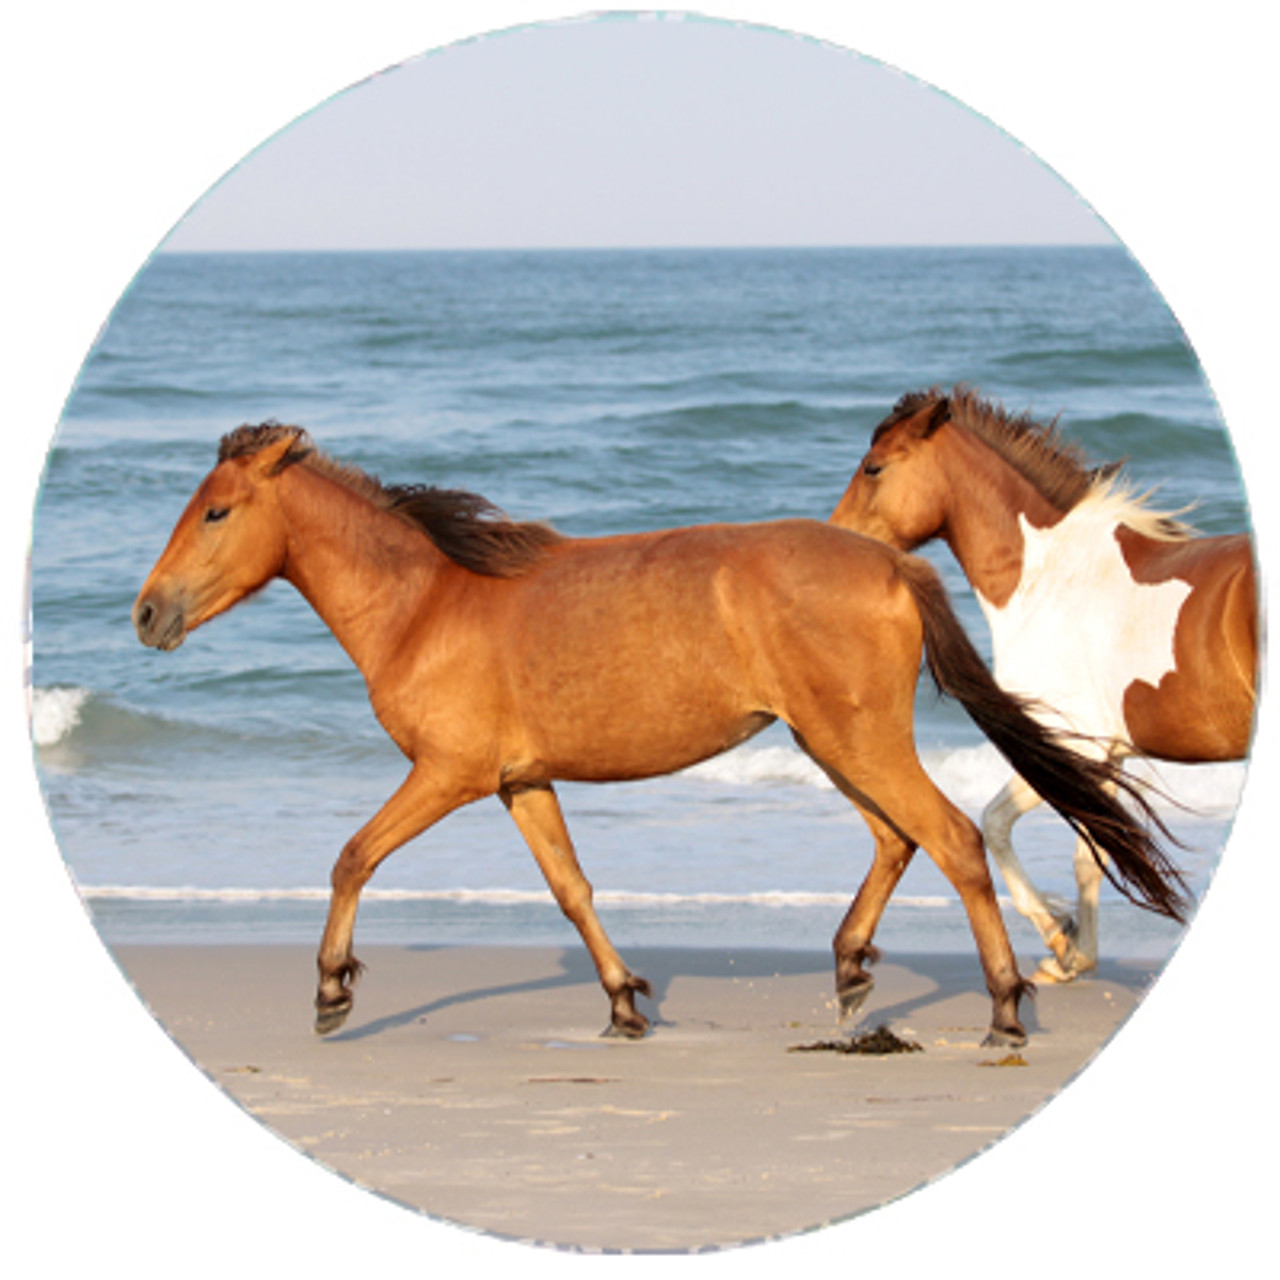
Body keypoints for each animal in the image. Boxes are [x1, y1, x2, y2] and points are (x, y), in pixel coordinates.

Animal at [132, 423, 1187, 1046]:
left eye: (217, 510)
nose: (146, 614)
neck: (425, 605)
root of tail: (893, 563)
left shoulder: (450, 773)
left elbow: (353, 856)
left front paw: (331, 993)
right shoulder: (520, 781)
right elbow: (571, 890)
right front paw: (624, 1002)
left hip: (857, 742)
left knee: (954, 839)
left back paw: (1005, 1007)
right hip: (831, 742)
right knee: (899, 839)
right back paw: (852, 973)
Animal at [831, 387, 1257, 981]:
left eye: (874, 467)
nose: (833, 536)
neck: (1049, 580)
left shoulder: (1072, 747)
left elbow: (996, 824)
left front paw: (1058, 939)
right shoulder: (1108, 757)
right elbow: (1092, 855)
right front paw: (1074, 955)